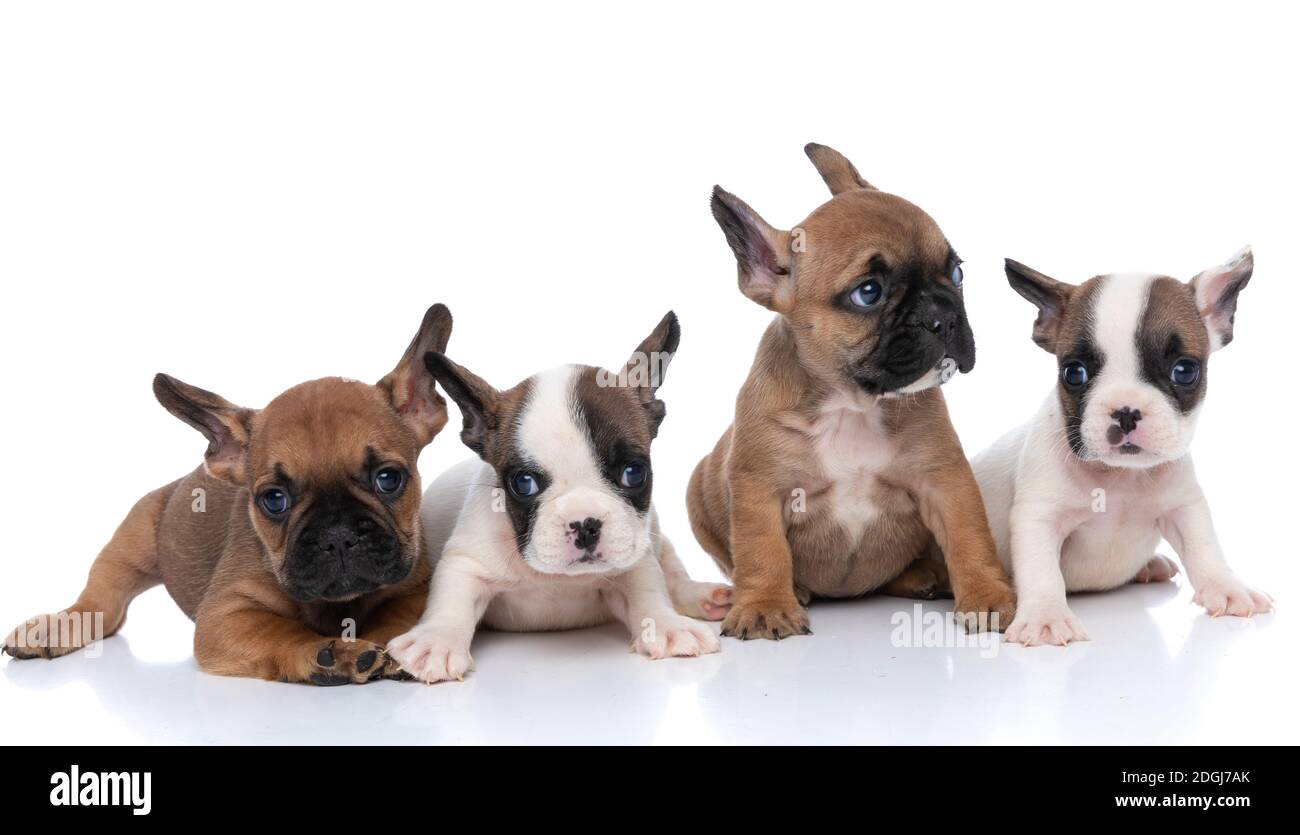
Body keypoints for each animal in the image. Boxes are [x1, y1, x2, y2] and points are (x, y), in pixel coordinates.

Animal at [2, 301, 454, 681]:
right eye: (274, 500)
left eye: (388, 478)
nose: (337, 535)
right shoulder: (226, 615)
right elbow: (280, 631)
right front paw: (332, 654)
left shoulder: (413, 589)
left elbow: (393, 620)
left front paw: (391, 649)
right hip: (131, 541)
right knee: (101, 605)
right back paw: (56, 626)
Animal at [384, 309, 733, 681]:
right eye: (523, 483)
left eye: (633, 473)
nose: (585, 524)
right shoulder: (465, 561)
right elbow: (452, 600)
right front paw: (436, 641)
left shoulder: (636, 557)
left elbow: (649, 590)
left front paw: (667, 626)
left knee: (673, 574)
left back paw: (705, 596)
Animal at [686, 143, 1019, 637]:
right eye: (868, 292)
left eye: (956, 274)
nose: (943, 314)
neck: (852, 405)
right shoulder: (758, 490)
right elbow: (762, 550)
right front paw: (765, 605)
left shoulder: (945, 480)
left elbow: (970, 537)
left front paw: (988, 596)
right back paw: (798, 590)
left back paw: (924, 576)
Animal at [977, 247, 1268, 645]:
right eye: (1074, 372)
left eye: (1184, 371)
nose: (1127, 411)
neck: (1120, 477)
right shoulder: (1039, 516)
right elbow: (1041, 569)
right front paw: (1045, 617)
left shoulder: (1183, 506)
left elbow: (1203, 545)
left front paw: (1227, 587)